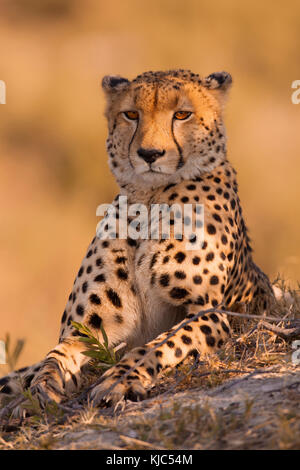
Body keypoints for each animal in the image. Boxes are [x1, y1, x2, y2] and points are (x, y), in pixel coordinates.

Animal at [0, 69, 276, 412]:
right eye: (131, 114)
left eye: (182, 114)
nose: (149, 154)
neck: (149, 199)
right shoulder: (83, 332)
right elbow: (53, 360)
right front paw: (38, 393)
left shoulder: (210, 314)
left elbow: (160, 344)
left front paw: (120, 379)